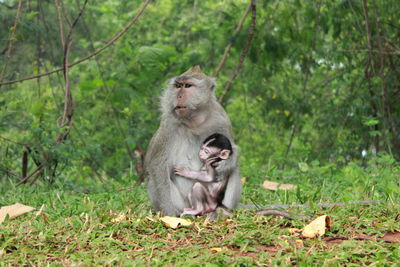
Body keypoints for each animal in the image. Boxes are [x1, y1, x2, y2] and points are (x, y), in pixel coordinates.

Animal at [145, 66, 242, 217]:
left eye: (188, 86)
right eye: (178, 86)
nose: (178, 96)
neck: (194, 122)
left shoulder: (221, 119)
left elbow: (231, 148)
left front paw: (227, 162)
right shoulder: (168, 125)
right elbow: (157, 164)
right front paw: (169, 212)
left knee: (234, 170)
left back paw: (221, 212)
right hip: (184, 204)